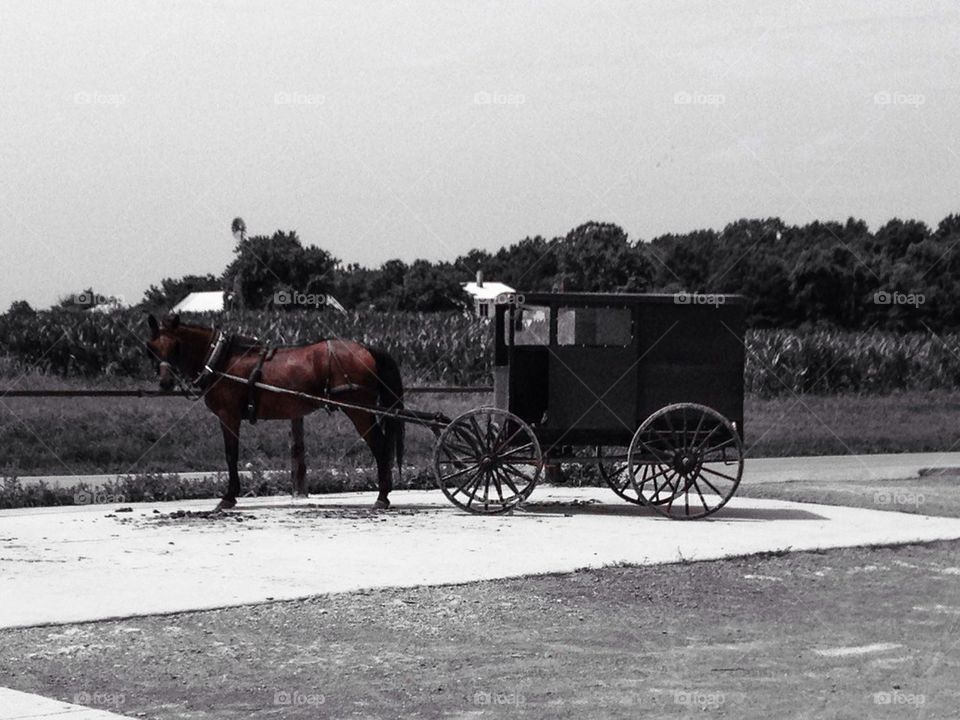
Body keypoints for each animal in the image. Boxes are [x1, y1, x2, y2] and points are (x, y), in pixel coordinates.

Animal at [145, 316, 404, 512]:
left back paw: (382, 497)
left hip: (359, 412)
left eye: (176, 346)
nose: (166, 383)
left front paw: (228, 497)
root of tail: (366, 348)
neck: (221, 359)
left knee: (380, 448)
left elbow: (231, 455)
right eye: (152, 348)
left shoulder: (228, 416)